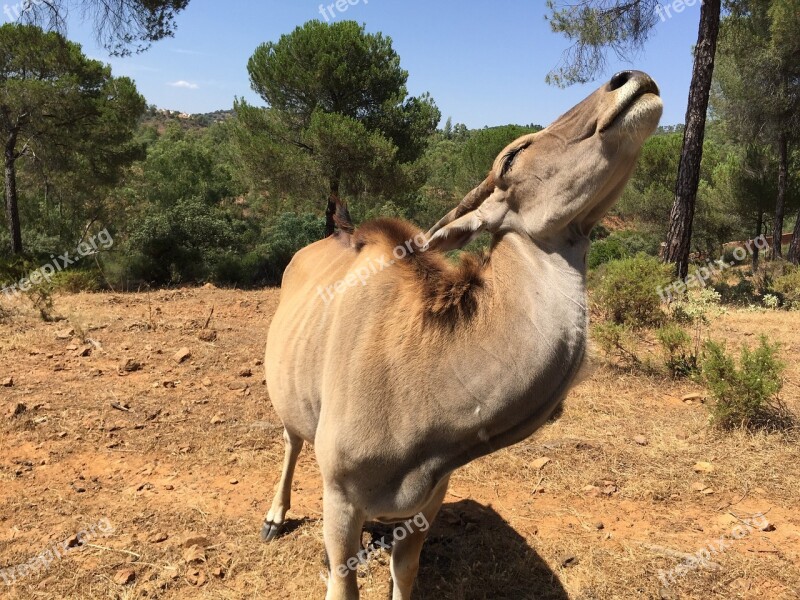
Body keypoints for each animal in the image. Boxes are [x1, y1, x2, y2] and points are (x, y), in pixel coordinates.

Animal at [262, 68, 664, 596]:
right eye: (511, 156)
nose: (634, 78)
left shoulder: (429, 501)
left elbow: (404, 572)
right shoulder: (340, 499)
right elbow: (341, 579)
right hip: (290, 407)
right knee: (291, 441)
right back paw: (274, 516)